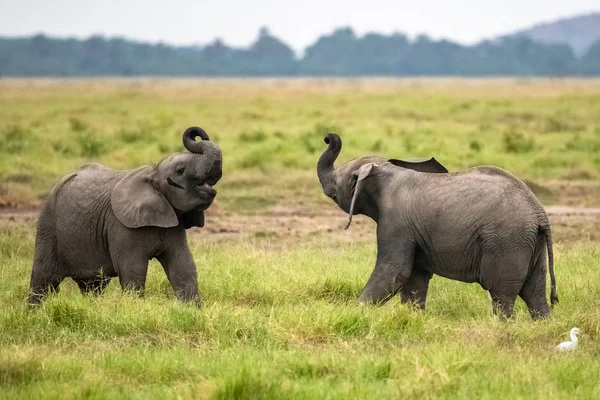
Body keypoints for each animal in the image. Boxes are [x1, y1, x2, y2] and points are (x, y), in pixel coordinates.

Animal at [28, 126, 223, 308]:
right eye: (180, 170)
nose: (199, 134)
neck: (152, 170)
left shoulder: (174, 223)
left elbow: (183, 266)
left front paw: (193, 311)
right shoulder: (120, 225)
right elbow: (132, 269)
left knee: (92, 285)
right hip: (48, 225)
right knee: (43, 279)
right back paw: (33, 314)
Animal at [318, 134, 556, 318]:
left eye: (338, 180)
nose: (328, 137)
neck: (386, 171)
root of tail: (539, 213)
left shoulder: (396, 223)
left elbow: (393, 271)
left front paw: (355, 313)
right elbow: (415, 278)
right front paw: (412, 318)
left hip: (506, 241)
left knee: (502, 293)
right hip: (530, 243)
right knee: (534, 293)